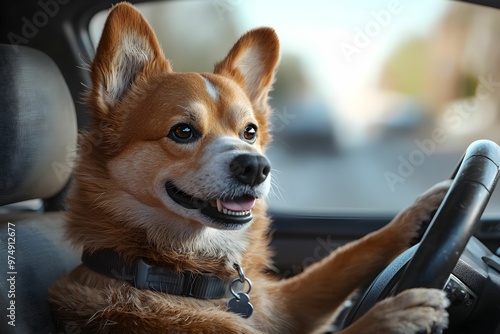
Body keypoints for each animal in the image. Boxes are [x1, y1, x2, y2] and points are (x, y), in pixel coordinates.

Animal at [48, 3, 452, 334]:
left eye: (250, 132)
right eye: (183, 131)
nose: (256, 167)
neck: (178, 273)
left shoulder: (290, 306)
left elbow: (346, 257)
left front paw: (418, 213)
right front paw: (394, 314)